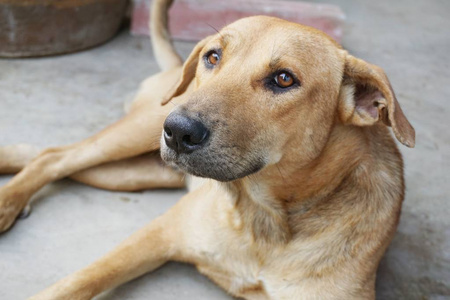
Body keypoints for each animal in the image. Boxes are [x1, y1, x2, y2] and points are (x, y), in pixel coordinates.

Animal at [0, 0, 414, 298]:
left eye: (284, 79)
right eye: (212, 57)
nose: (178, 132)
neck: (265, 219)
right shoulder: (157, 235)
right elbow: (78, 281)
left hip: (134, 173)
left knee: (49, 155)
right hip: (137, 132)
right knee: (58, 157)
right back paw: (8, 203)